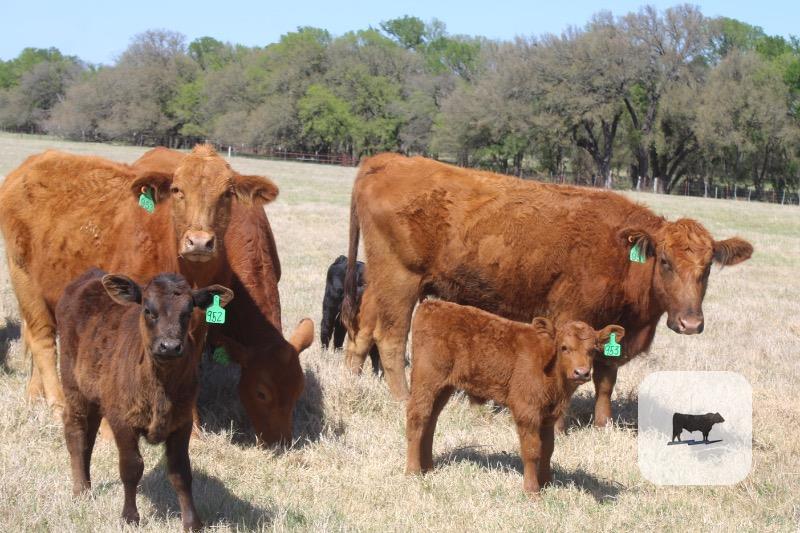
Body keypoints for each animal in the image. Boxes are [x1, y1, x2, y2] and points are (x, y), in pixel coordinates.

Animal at [0, 145, 310, 445]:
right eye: (177, 190)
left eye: (227, 193)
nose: (281, 442)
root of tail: (34, 163)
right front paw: (111, 430)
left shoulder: (200, 322)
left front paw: (192, 429)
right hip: (24, 279)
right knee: (41, 339)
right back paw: (57, 403)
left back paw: (35, 393)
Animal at [57, 268, 233, 530]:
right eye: (148, 310)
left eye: (187, 312)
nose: (169, 346)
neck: (160, 388)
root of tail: (90, 276)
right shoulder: (122, 420)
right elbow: (131, 467)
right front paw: (130, 517)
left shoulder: (182, 421)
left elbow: (181, 471)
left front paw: (192, 522)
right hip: (72, 385)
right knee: (76, 431)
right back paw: (81, 491)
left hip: (97, 395)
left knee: (89, 434)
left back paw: (87, 485)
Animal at [342, 154, 753, 427]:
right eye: (665, 261)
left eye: (707, 269)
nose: (690, 323)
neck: (619, 253)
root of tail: (387, 160)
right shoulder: (572, 316)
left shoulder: (611, 330)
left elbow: (605, 378)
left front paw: (602, 425)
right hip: (400, 280)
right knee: (391, 338)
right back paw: (402, 397)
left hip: (380, 280)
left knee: (362, 329)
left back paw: (351, 382)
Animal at [406, 300, 624, 494]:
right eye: (564, 347)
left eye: (593, 350)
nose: (581, 372)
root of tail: (431, 305)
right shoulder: (526, 409)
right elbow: (532, 450)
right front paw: (532, 490)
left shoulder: (548, 414)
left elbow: (548, 448)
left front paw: (547, 483)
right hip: (426, 380)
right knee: (417, 419)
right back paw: (413, 471)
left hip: (444, 387)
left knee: (431, 421)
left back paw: (428, 468)